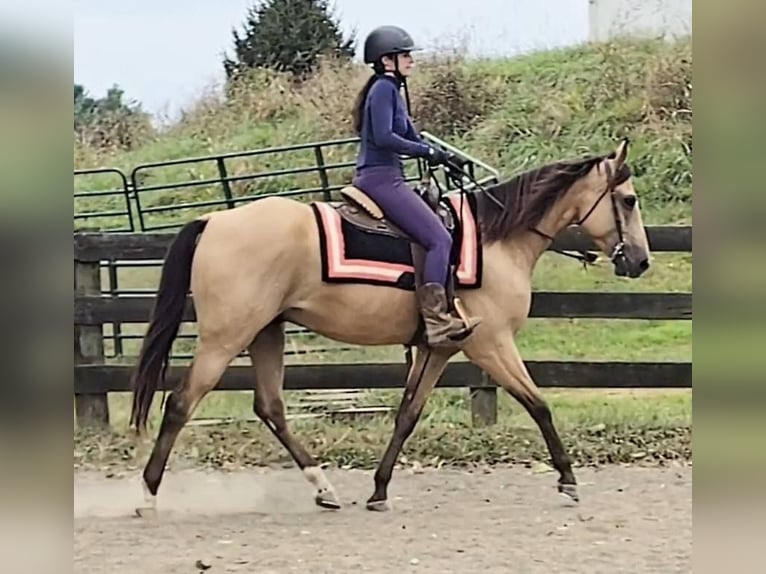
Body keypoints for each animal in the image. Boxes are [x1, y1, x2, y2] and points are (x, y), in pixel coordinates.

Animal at [129, 138, 650, 517]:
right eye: (628, 200)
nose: (641, 261)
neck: (495, 240)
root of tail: (214, 220)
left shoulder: (438, 349)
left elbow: (407, 415)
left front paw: (379, 490)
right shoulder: (490, 345)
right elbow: (538, 404)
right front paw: (568, 480)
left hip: (266, 332)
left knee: (271, 408)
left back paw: (324, 488)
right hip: (225, 337)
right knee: (180, 404)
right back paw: (147, 496)